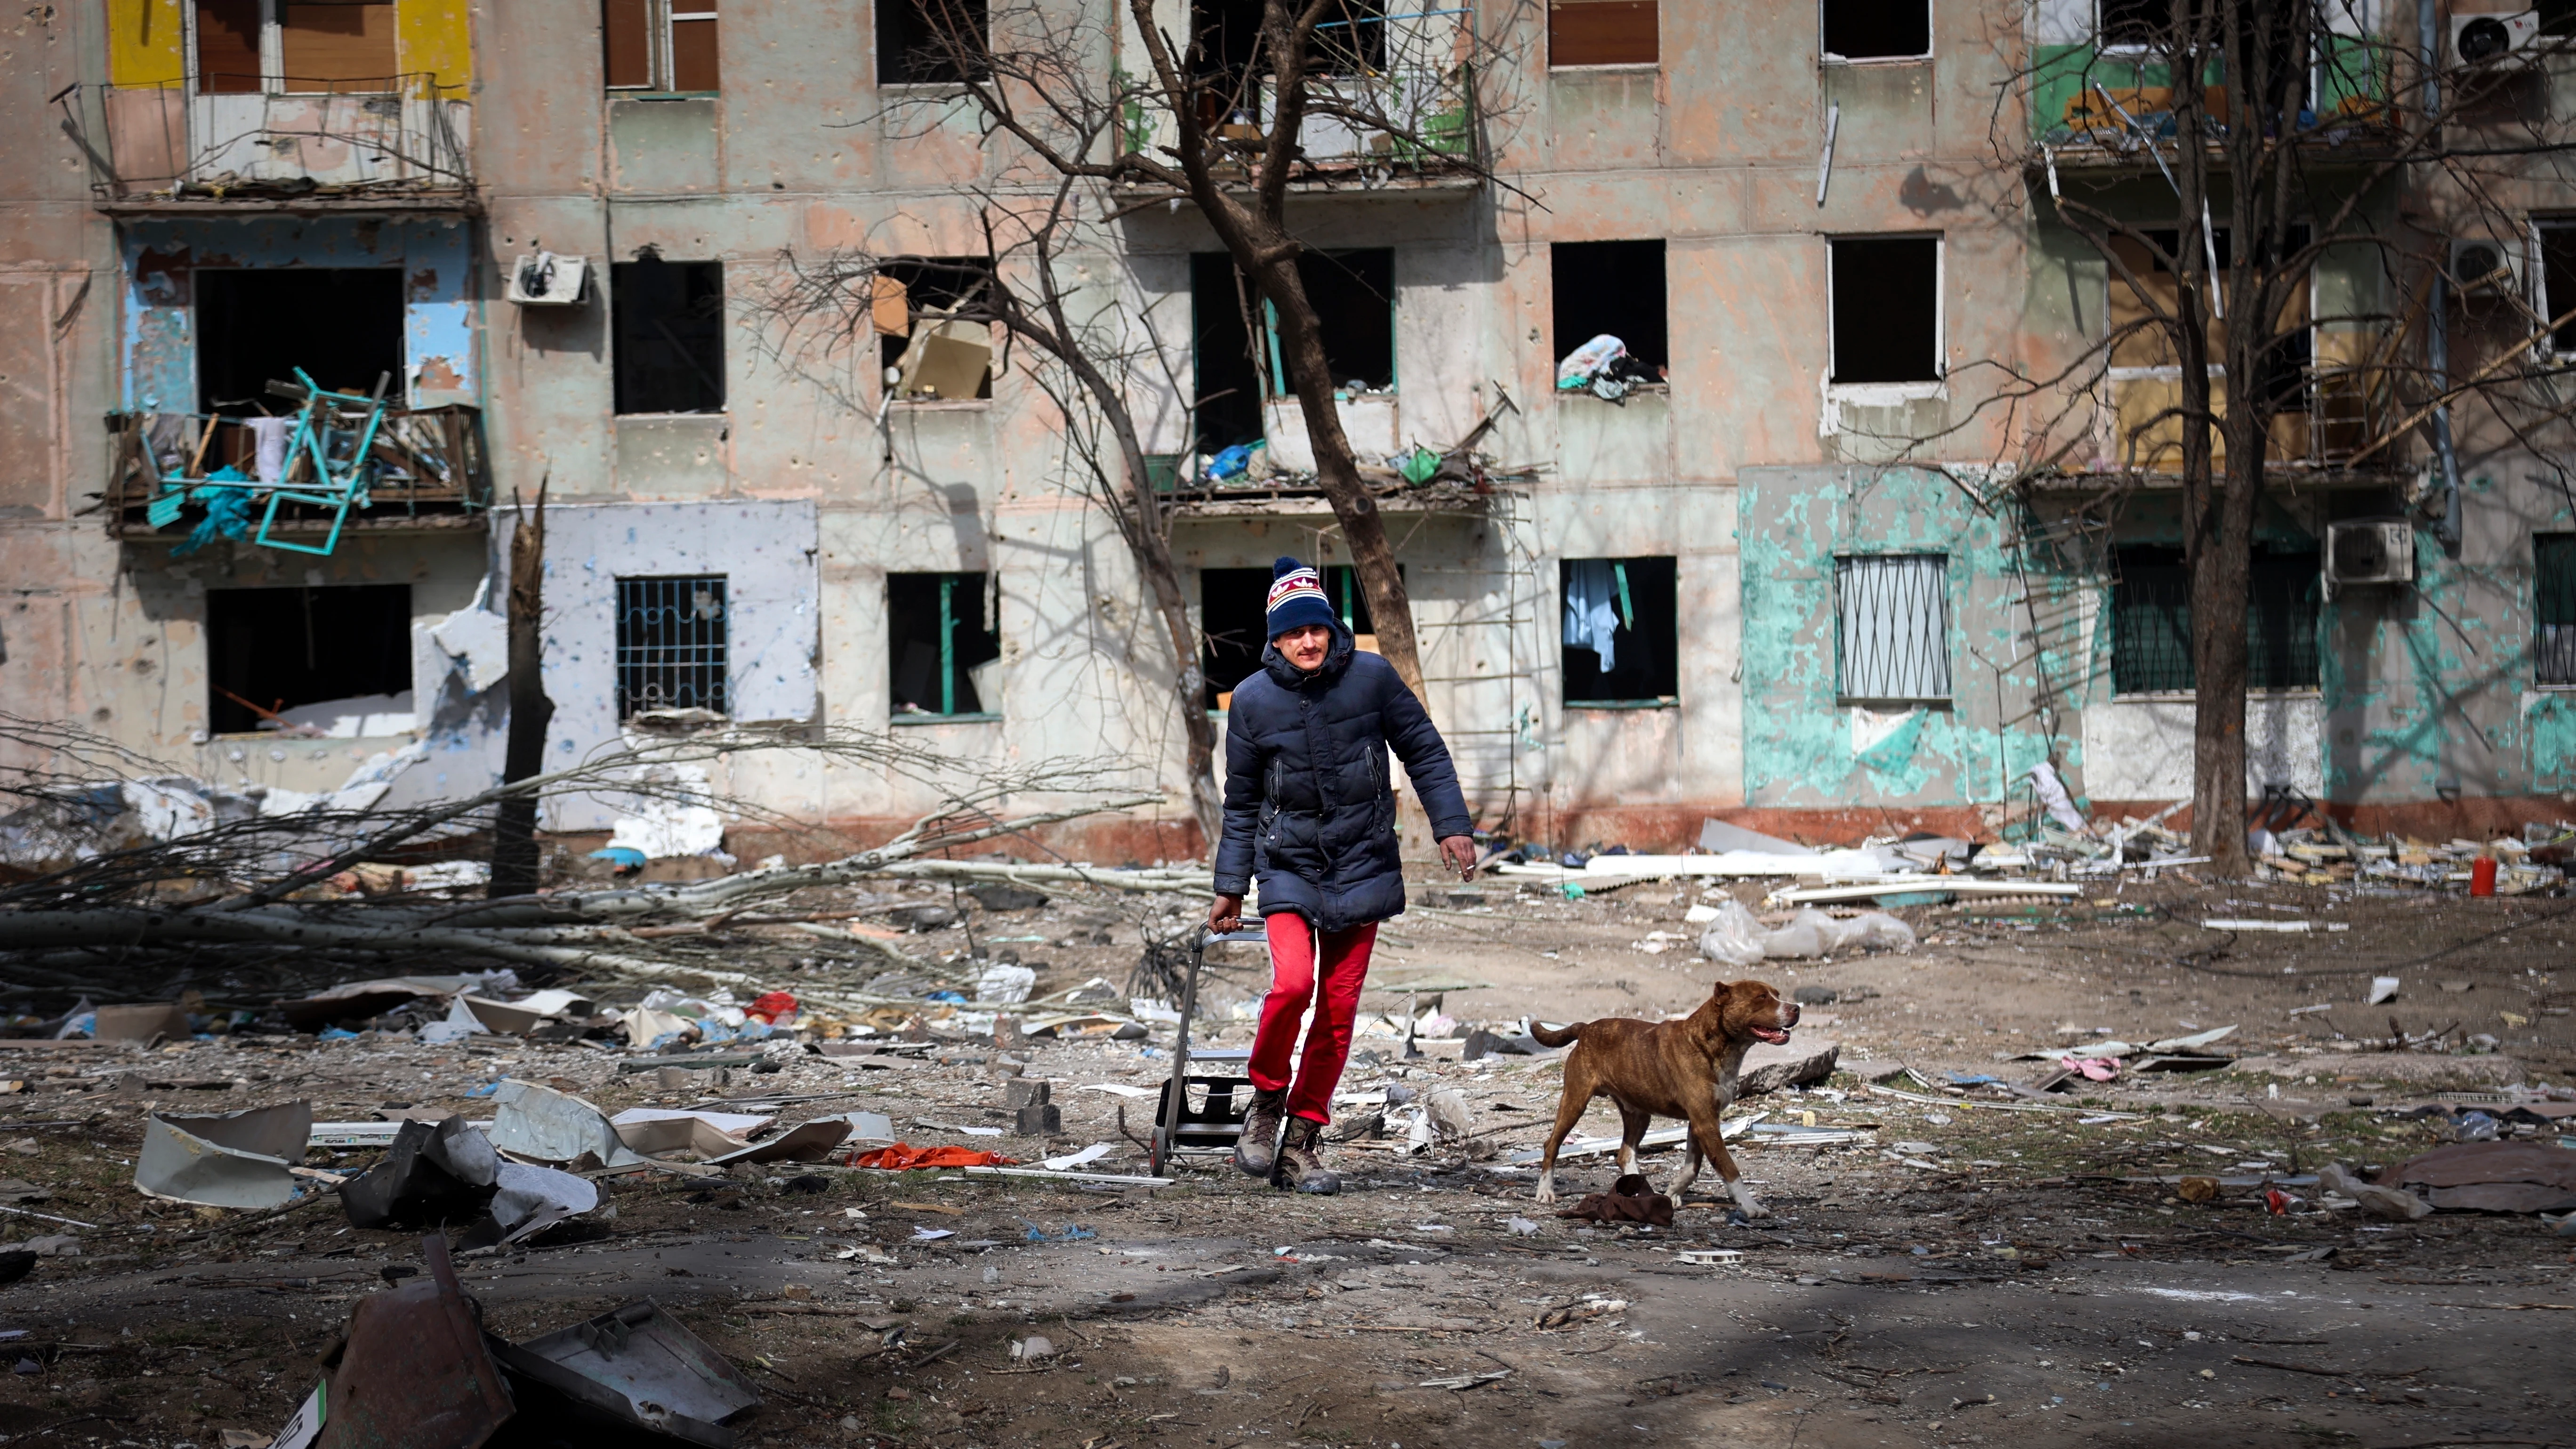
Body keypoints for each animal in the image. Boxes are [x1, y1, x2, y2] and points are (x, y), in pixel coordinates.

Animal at [1514, 974, 1803, 1212]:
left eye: (1776, 994)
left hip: (1639, 1114)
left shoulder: (1700, 1121)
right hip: (1575, 1101)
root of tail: (1585, 1028)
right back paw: (1545, 1192)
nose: (1797, 1008)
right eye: (1761, 997)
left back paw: (1641, 1190)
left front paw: (1673, 1193)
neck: (1713, 1045)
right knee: (1552, 1145)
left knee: (1625, 1154)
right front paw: (1751, 1206)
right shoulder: (1705, 1122)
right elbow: (1728, 1167)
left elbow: (1692, 1168)